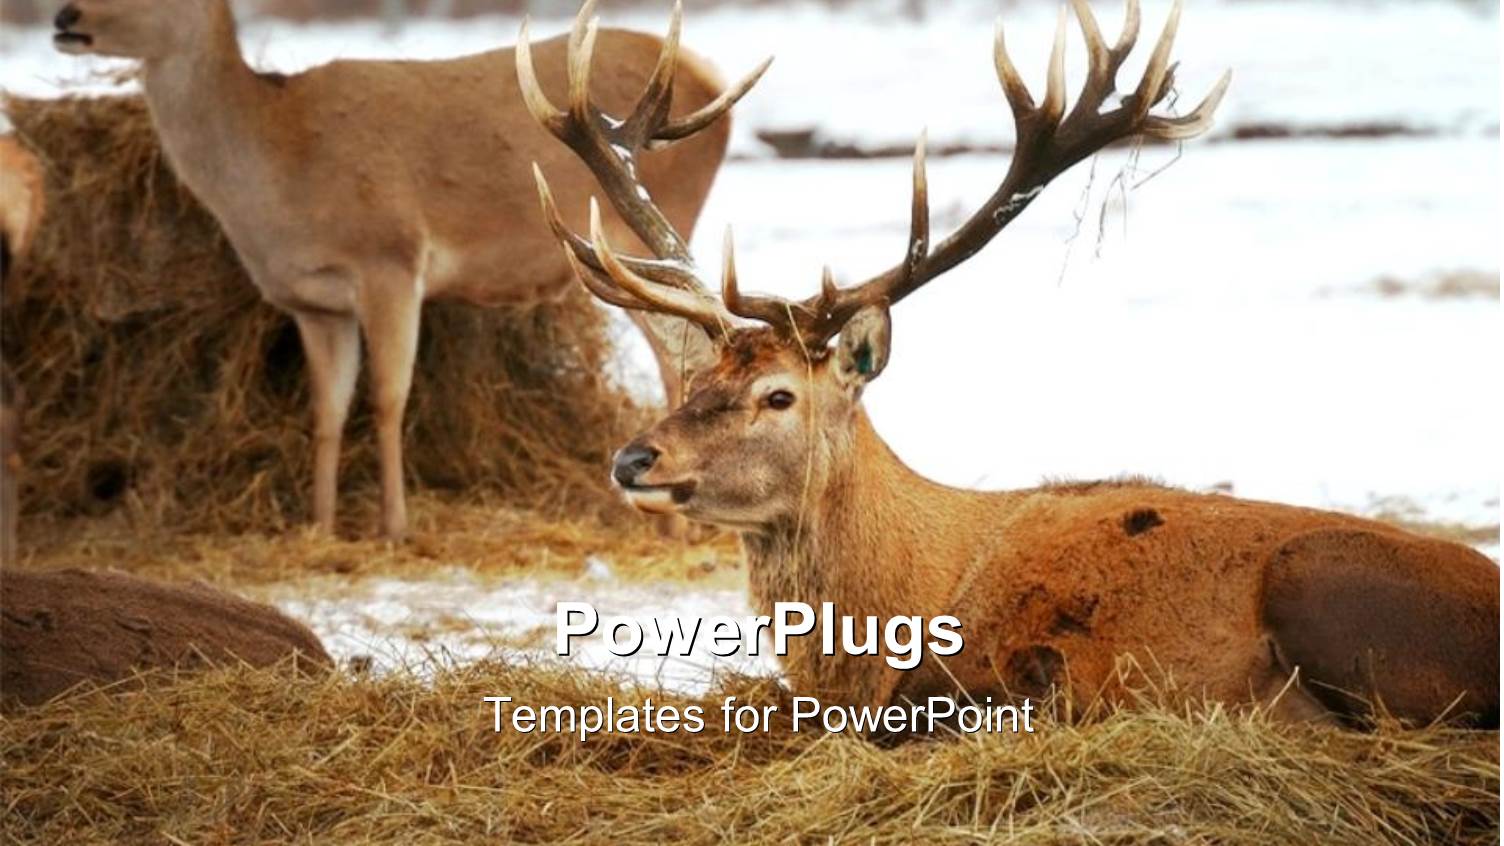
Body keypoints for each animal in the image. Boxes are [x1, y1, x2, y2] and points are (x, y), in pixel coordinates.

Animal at [51, 0, 766, 539]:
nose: (65, 16)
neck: (279, 164)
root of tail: (708, 81)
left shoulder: (389, 257)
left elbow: (388, 396)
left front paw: (393, 526)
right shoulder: (313, 302)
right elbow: (327, 408)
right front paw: (320, 525)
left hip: (643, 233)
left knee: (683, 353)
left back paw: (673, 524)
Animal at [527, 0, 1499, 728]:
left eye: (778, 396)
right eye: (697, 382)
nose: (634, 457)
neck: (895, 614)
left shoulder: (1005, 672)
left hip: (1324, 584)